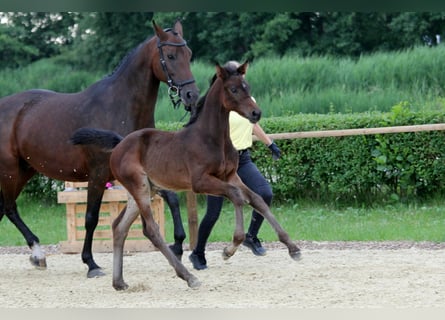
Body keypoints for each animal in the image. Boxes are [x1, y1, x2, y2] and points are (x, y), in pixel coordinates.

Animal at [0, 21, 198, 278]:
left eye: (189, 55)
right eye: (171, 56)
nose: (191, 95)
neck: (120, 108)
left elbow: (172, 198)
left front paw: (178, 244)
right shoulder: (98, 175)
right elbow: (91, 218)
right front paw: (90, 263)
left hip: (25, 170)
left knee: (4, 209)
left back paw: (36, 255)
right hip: (9, 171)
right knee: (10, 208)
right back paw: (38, 252)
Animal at [69, 62, 300, 290]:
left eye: (248, 87)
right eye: (234, 89)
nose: (256, 113)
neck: (211, 138)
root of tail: (119, 144)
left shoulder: (231, 176)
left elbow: (257, 199)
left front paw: (293, 248)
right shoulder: (201, 182)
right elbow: (236, 196)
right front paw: (230, 249)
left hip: (143, 190)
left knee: (119, 227)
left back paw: (119, 282)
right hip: (139, 187)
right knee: (151, 230)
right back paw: (188, 276)